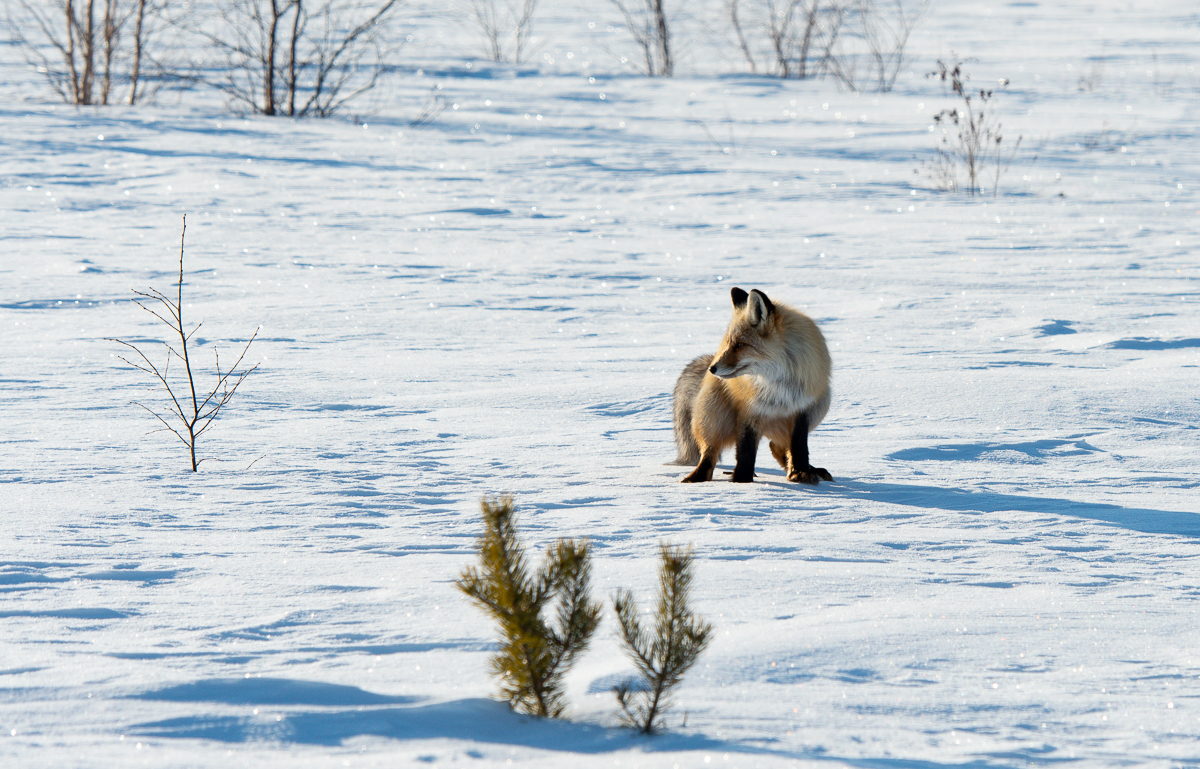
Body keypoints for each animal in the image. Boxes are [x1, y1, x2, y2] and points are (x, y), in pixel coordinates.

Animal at [672, 285, 830, 482]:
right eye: (729, 343)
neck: (776, 385)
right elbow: (745, 450)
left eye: (740, 344)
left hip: (822, 404)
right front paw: (742, 481)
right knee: (709, 452)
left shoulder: (802, 407)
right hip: (712, 410)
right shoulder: (749, 408)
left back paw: (805, 470)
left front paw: (801, 472)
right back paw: (697, 477)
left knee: (776, 445)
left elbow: (799, 446)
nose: (712, 368)